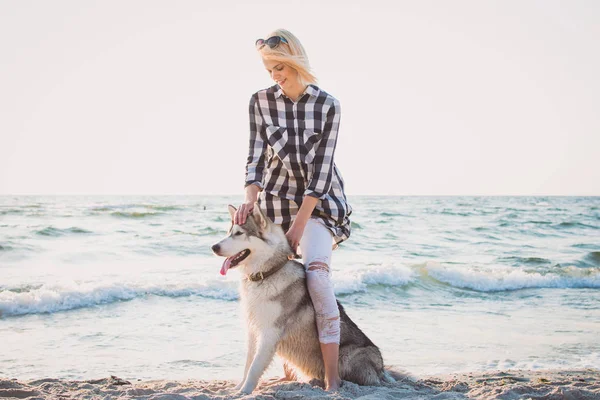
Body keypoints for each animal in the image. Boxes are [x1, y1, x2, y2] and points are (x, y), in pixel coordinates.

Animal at [210, 203, 390, 394]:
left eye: (238, 233)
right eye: (229, 232)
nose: (214, 247)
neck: (267, 274)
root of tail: (381, 370)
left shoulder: (270, 333)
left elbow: (255, 367)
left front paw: (244, 391)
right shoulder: (253, 330)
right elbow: (248, 364)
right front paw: (237, 388)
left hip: (346, 357)